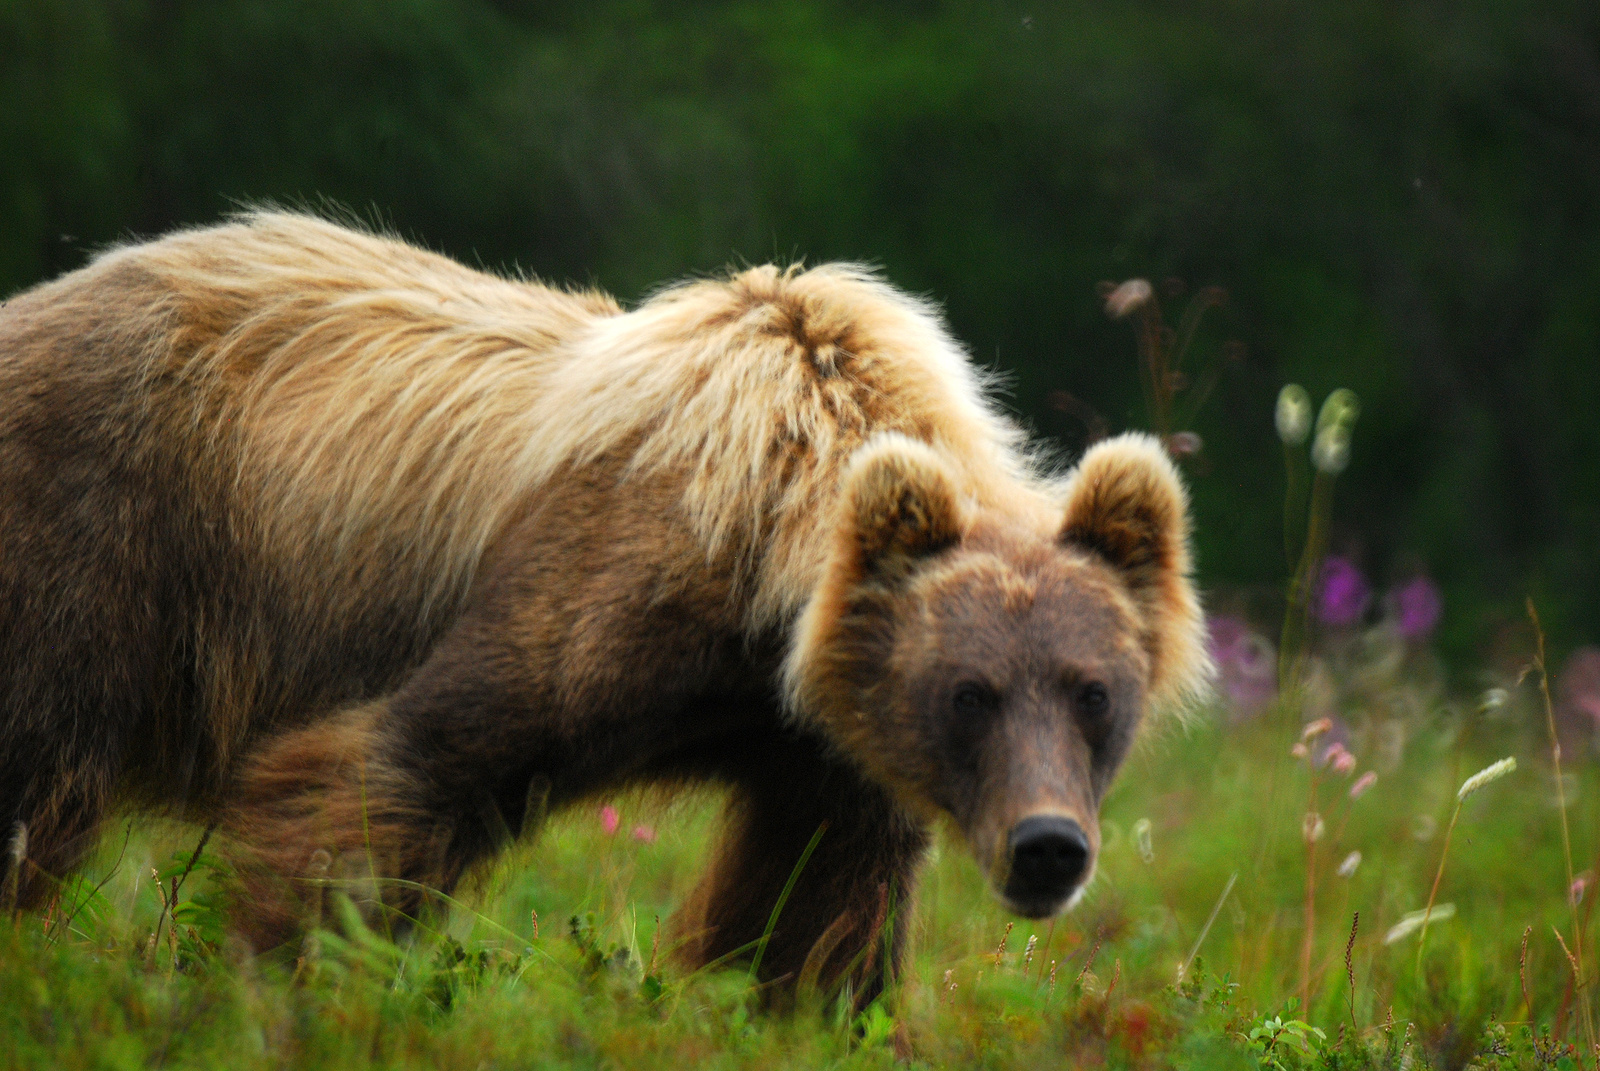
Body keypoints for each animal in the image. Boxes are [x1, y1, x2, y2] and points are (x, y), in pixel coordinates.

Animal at [0, 212, 1203, 998]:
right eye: (969, 692)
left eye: (1094, 693)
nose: (1047, 847)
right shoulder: (598, 587)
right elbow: (381, 778)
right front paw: (281, 983)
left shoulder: (825, 753)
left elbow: (814, 914)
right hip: (96, 531)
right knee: (37, 773)